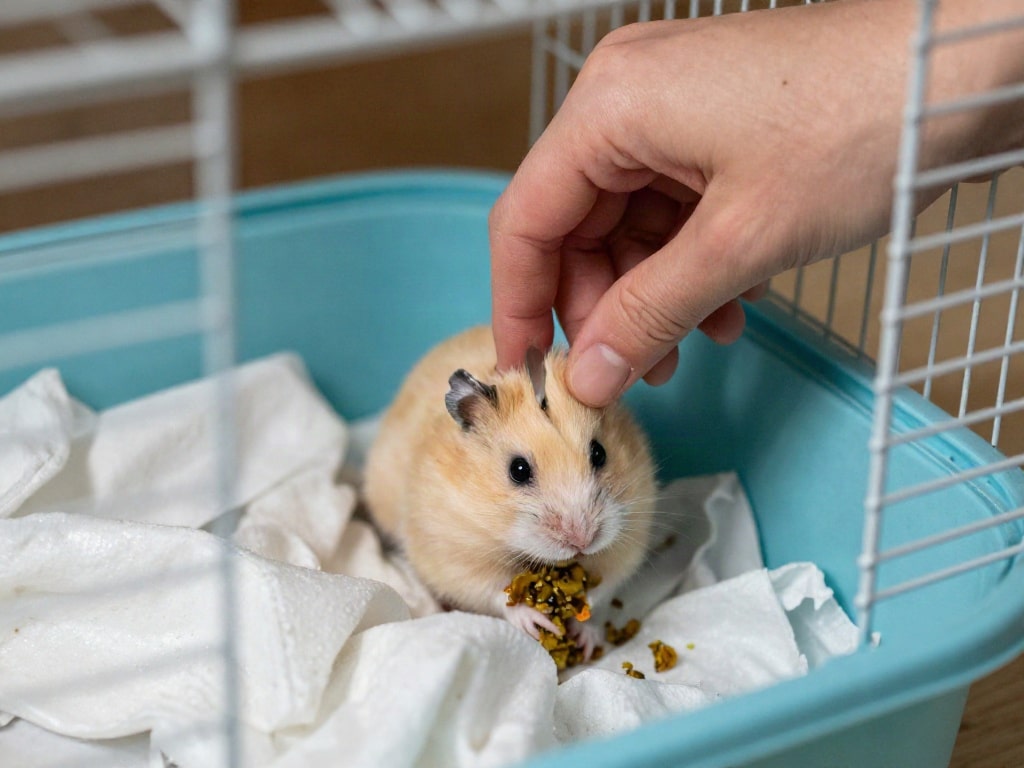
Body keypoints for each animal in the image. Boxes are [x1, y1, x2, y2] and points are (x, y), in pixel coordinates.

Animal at [362, 325, 657, 654]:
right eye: (518, 470)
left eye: (599, 453)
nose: (583, 541)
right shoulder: (452, 554)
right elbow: (494, 593)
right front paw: (538, 622)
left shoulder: (627, 540)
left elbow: (600, 588)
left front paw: (585, 634)